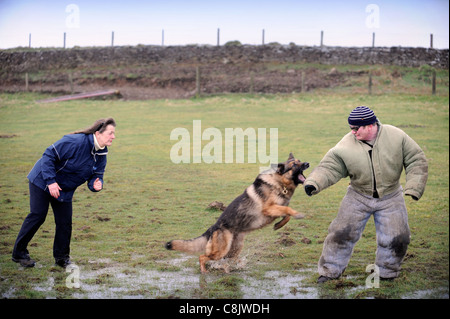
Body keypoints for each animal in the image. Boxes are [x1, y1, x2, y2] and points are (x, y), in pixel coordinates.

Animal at [165, 154, 310, 274]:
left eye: (300, 161)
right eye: (294, 165)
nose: (307, 163)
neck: (279, 182)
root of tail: (213, 228)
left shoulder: (277, 208)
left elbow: (287, 214)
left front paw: (278, 225)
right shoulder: (268, 209)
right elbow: (288, 210)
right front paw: (298, 214)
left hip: (235, 248)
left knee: (228, 259)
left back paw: (230, 267)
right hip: (221, 250)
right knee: (202, 257)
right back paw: (205, 272)